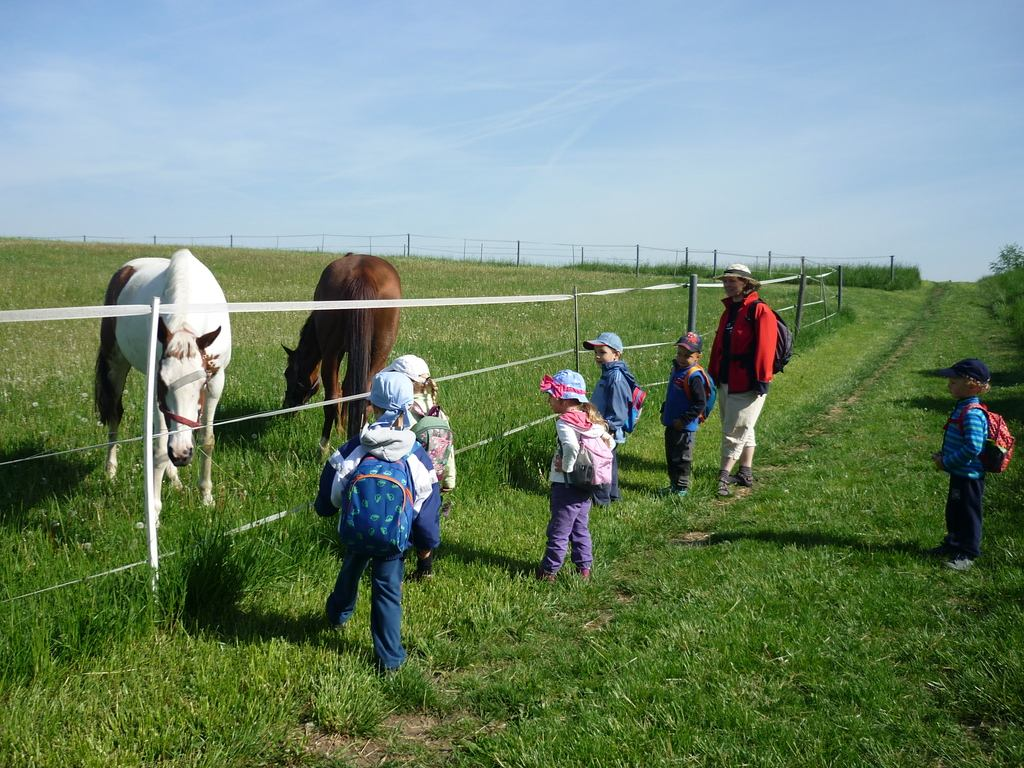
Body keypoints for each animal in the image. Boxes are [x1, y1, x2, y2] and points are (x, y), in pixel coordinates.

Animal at [94, 249, 232, 520]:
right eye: (163, 382)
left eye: (201, 382)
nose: (181, 454)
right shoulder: (156, 394)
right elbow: (157, 448)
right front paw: (154, 511)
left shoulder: (216, 382)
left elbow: (207, 439)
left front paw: (206, 497)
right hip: (116, 363)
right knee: (115, 414)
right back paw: (111, 471)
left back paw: (174, 478)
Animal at [286, 252, 405, 448]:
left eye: (287, 375)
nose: (287, 408)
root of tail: (363, 274)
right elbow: (348, 388)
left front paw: (340, 429)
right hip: (378, 353)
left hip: (332, 354)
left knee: (332, 398)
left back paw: (323, 446)